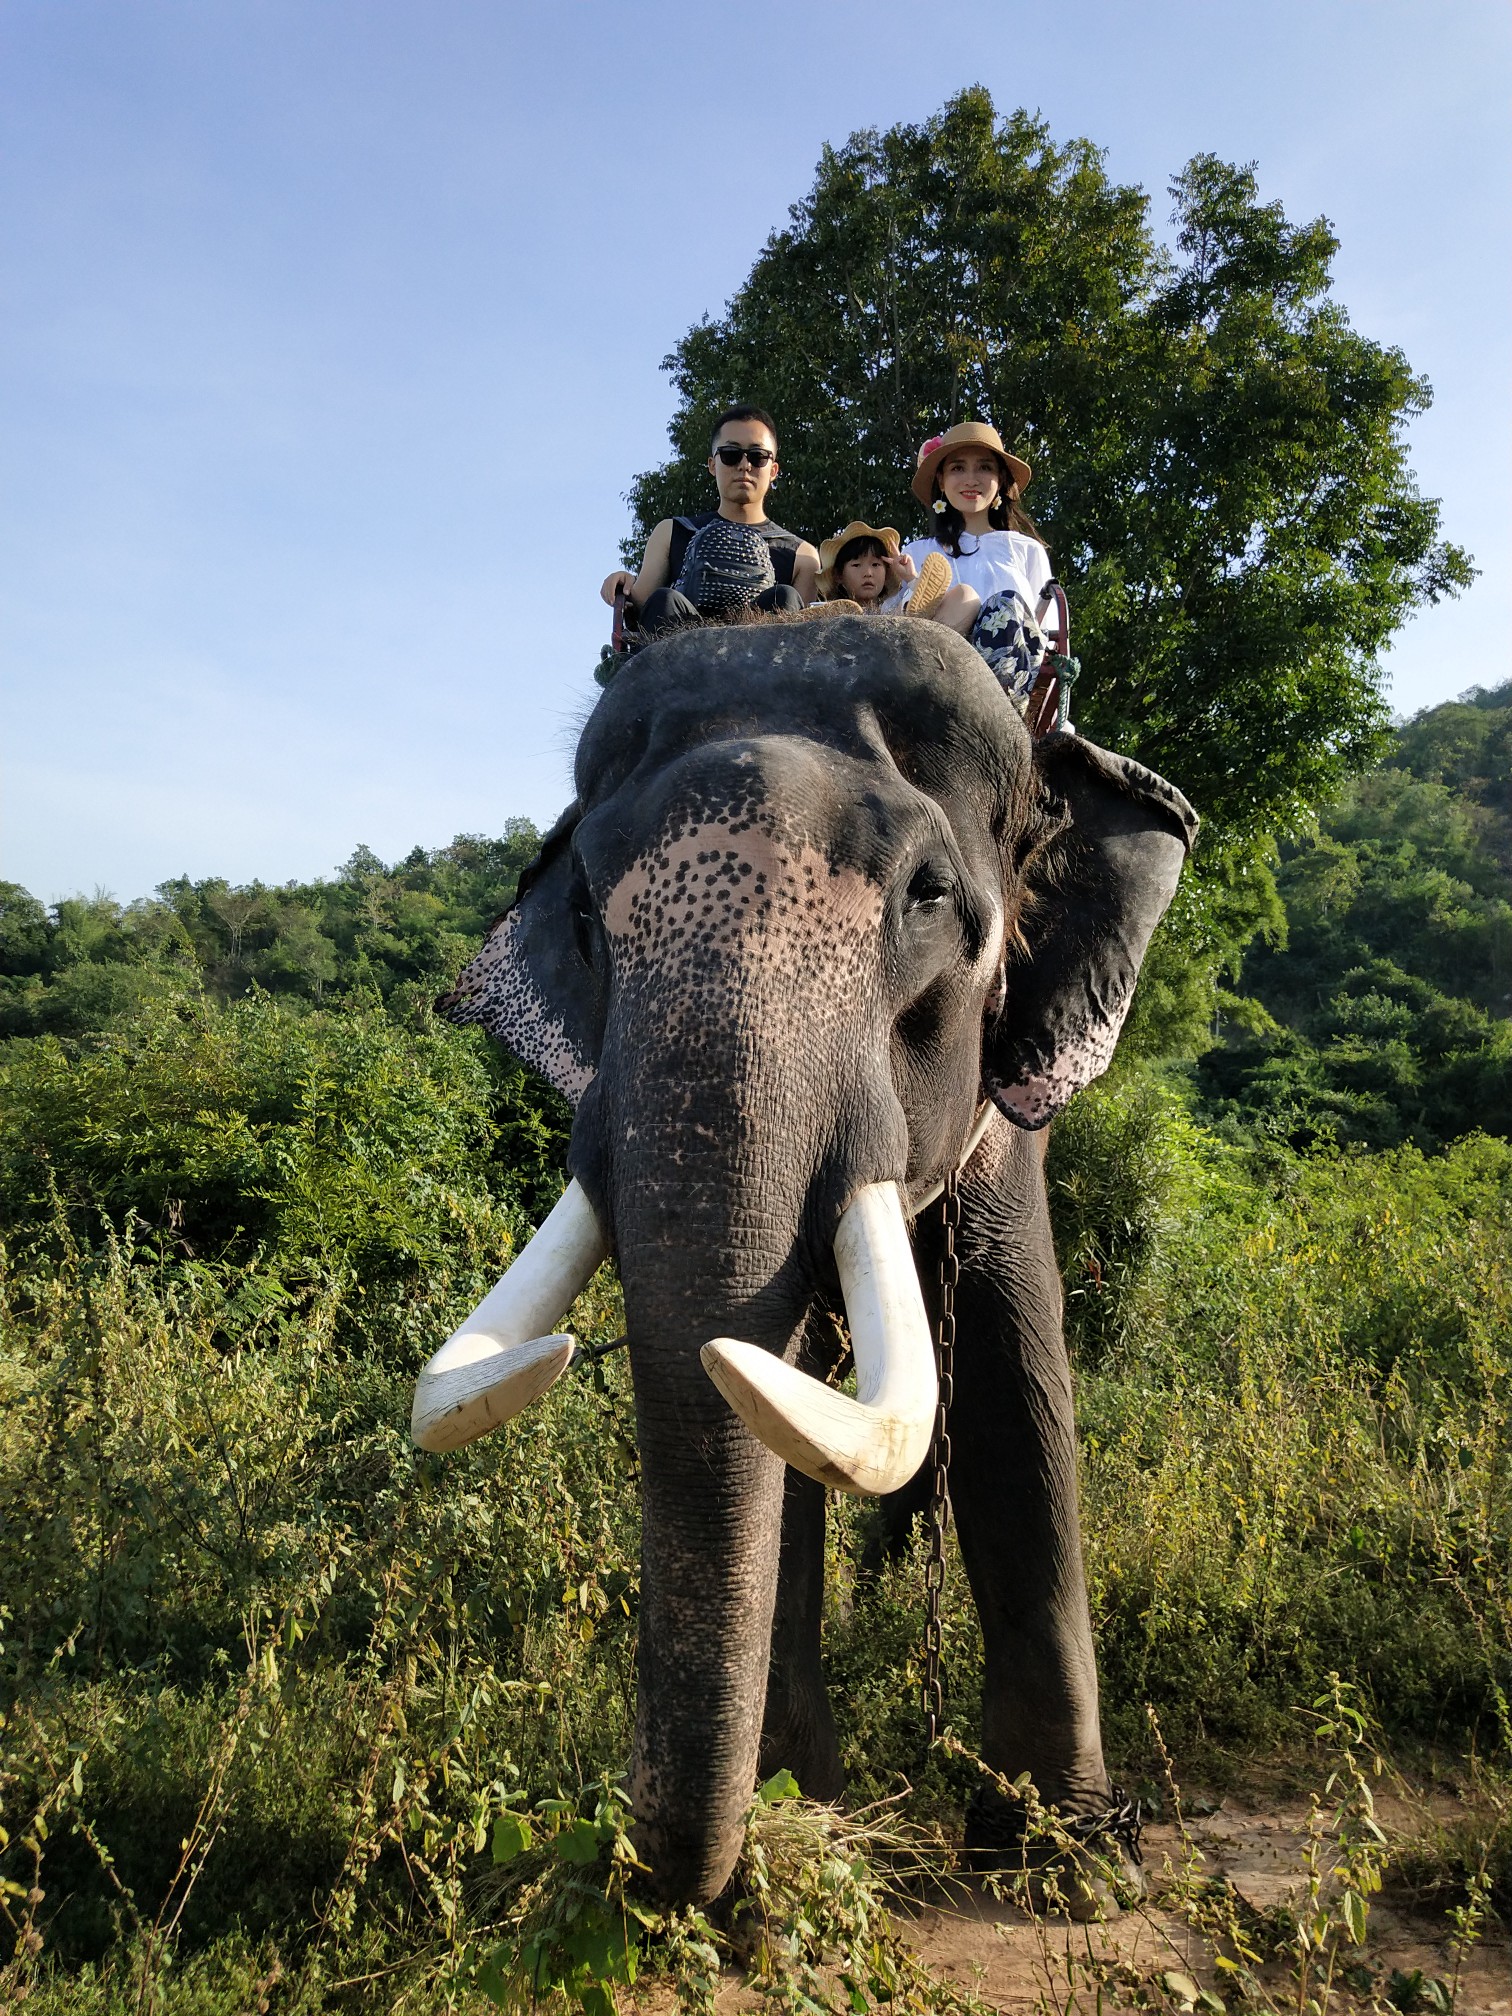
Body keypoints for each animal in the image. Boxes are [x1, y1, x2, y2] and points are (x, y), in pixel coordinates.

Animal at [421, 612, 1201, 1903]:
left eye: (929, 894)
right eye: (582, 915)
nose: (655, 1870)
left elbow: (1007, 1382)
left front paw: (1068, 1867)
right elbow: (772, 1410)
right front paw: (794, 1838)